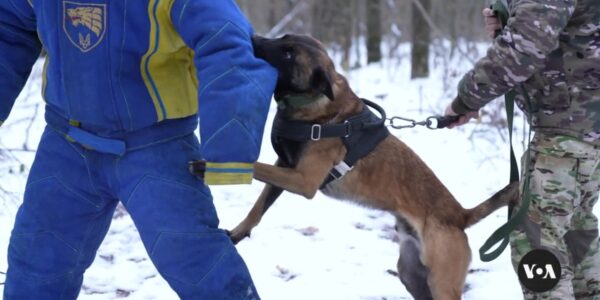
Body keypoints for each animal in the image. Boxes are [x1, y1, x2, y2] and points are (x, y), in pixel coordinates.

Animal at [225, 34, 516, 300]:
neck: (315, 104)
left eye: (288, 53)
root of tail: (459, 216)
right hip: (411, 274)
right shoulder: (285, 166)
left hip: (442, 283)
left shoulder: (303, 180)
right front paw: (238, 232)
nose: (253, 37)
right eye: (283, 38)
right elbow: (258, 208)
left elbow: (255, 166)